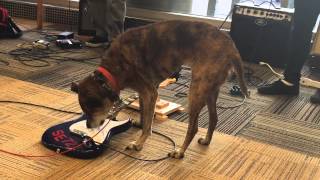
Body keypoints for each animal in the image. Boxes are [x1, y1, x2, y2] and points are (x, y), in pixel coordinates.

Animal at [71, 20, 249, 159]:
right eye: (84, 110)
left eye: (92, 109)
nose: (87, 126)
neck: (115, 68)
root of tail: (231, 47)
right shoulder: (145, 92)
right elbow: (144, 112)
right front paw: (140, 123)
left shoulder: (150, 92)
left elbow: (148, 125)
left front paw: (139, 143)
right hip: (210, 90)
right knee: (214, 118)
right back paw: (206, 140)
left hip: (196, 90)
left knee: (193, 128)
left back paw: (180, 152)